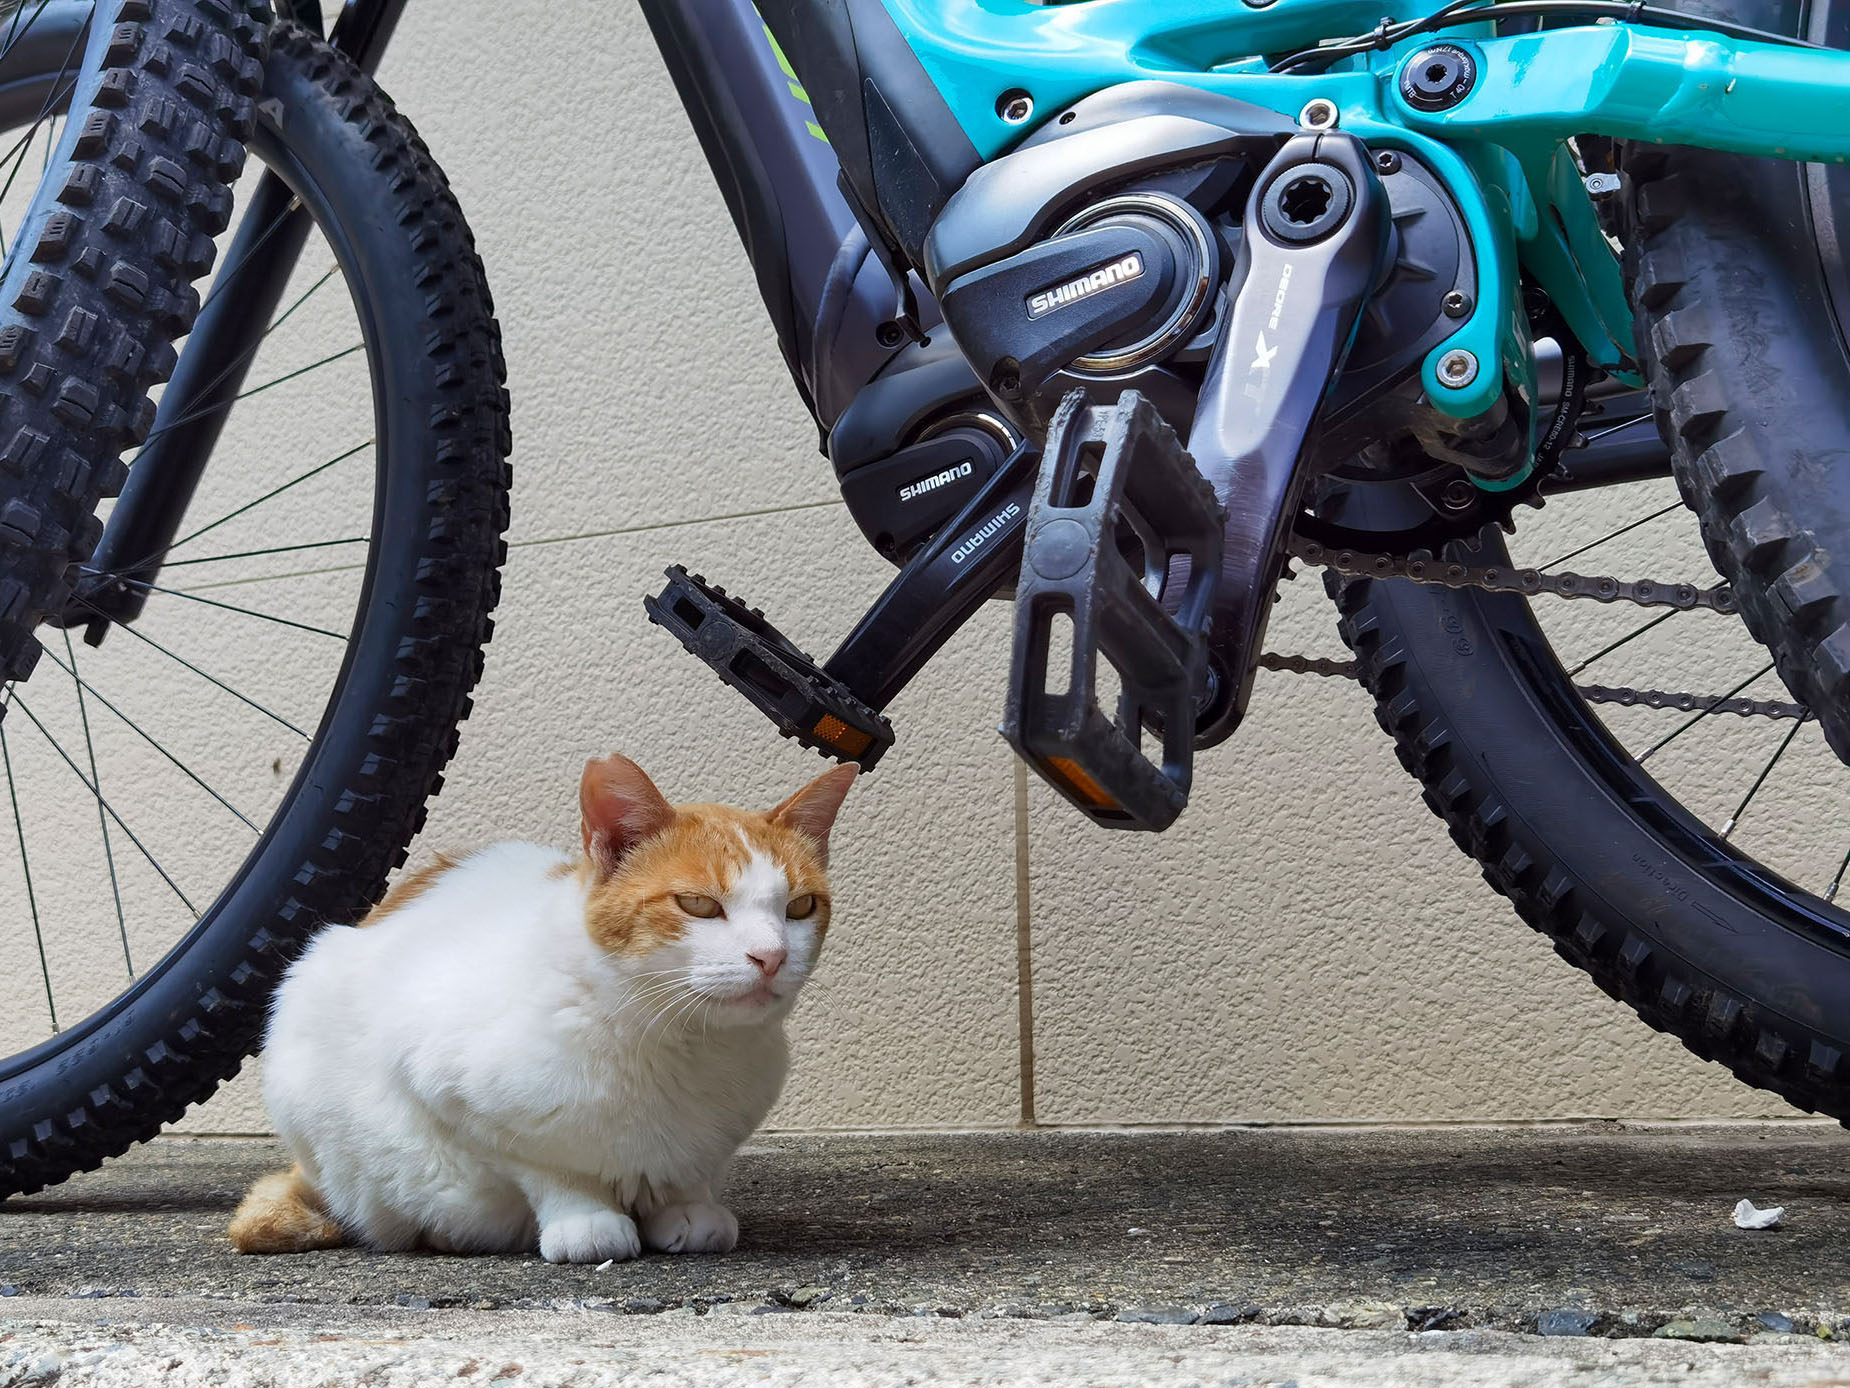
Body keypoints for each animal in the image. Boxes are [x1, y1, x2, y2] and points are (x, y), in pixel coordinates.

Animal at [227, 755, 854, 1265]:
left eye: (800, 907)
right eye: (698, 904)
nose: (771, 955)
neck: (678, 1040)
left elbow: (687, 1175)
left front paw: (686, 1208)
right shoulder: (455, 1094)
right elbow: (551, 1169)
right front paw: (586, 1219)